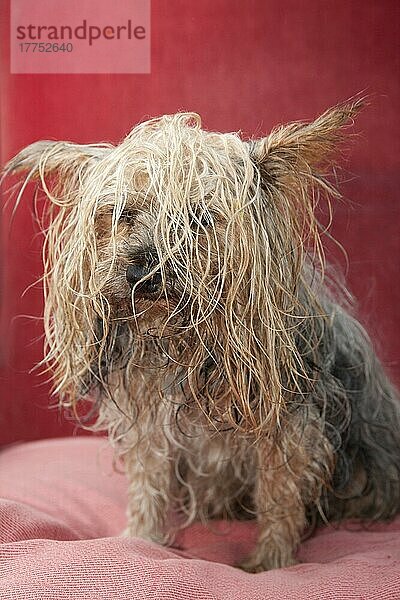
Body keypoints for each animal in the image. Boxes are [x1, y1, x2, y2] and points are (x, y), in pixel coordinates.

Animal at [3, 101, 400, 576]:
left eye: (198, 220)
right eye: (124, 215)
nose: (142, 271)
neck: (183, 339)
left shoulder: (291, 431)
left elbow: (280, 497)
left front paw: (271, 563)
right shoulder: (150, 424)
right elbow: (149, 482)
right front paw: (140, 540)